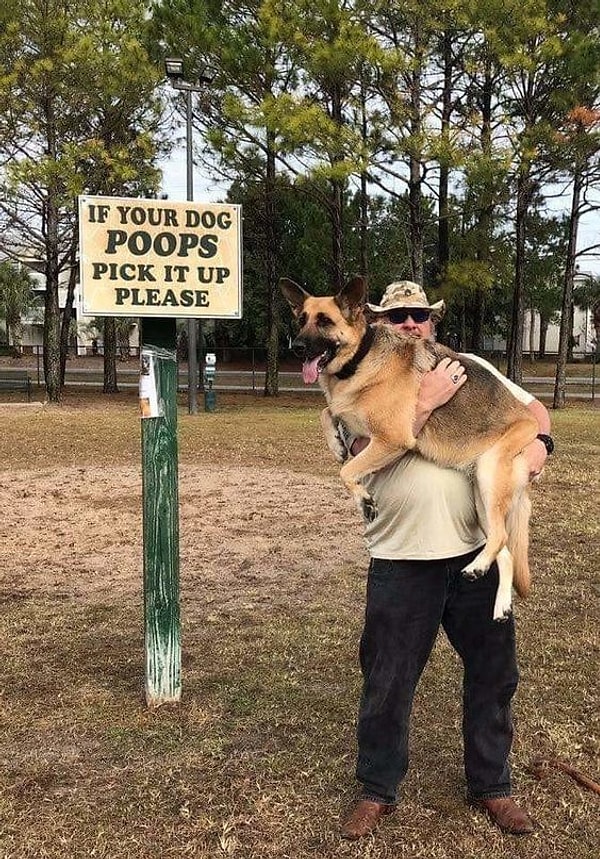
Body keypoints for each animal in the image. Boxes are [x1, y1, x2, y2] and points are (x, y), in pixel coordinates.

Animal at [282, 276, 540, 620]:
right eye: (301, 320)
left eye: (324, 321)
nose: (296, 347)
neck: (360, 359)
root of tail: (531, 422)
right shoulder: (358, 424)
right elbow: (327, 412)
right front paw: (336, 443)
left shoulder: (392, 439)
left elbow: (347, 470)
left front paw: (363, 499)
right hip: (482, 501)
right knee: (505, 551)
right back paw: (498, 601)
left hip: (490, 473)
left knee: (500, 538)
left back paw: (476, 568)